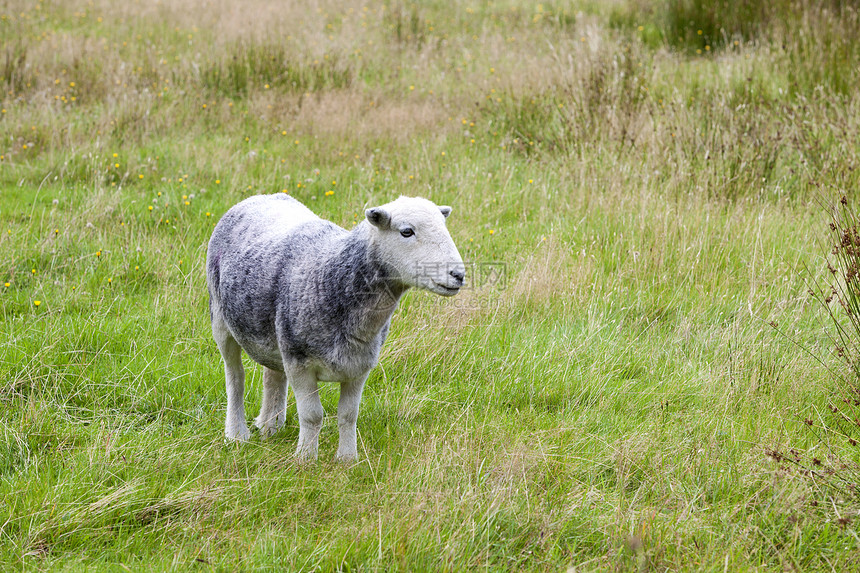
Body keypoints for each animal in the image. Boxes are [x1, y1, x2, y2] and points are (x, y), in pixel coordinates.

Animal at [206, 196, 466, 460]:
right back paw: (236, 433)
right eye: (406, 231)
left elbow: (348, 415)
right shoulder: (299, 363)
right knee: (235, 377)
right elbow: (312, 415)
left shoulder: (359, 365)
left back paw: (270, 426)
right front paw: (306, 459)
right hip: (220, 318)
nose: (458, 274)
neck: (333, 279)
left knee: (272, 375)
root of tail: (260, 197)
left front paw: (347, 460)